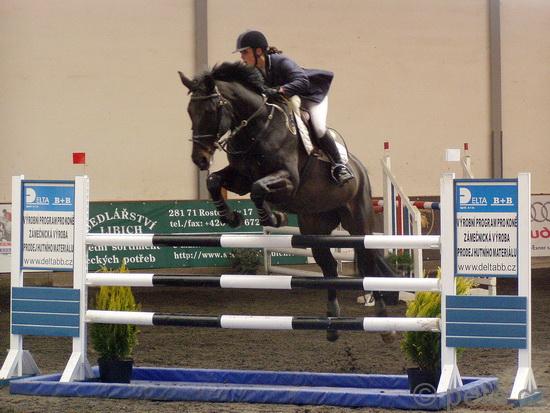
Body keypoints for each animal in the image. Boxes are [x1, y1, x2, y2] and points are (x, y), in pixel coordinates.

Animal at [178, 62, 395, 342]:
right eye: (189, 111)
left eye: (211, 110)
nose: (200, 159)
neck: (256, 128)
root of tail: (360, 169)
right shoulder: (240, 177)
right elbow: (217, 181)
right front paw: (231, 217)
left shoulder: (289, 180)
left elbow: (258, 188)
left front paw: (273, 217)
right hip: (315, 228)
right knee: (329, 267)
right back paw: (332, 324)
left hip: (359, 223)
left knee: (368, 264)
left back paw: (384, 323)